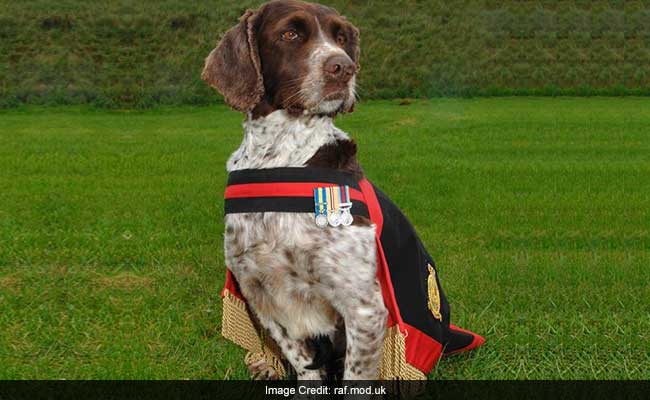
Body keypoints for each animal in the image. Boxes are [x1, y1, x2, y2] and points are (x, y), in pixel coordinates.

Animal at [202, 0, 384, 382]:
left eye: (341, 38)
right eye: (290, 34)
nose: (344, 68)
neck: (278, 158)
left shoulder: (363, 306)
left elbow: (355, 377)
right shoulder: (260, 293)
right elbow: (302, 362)